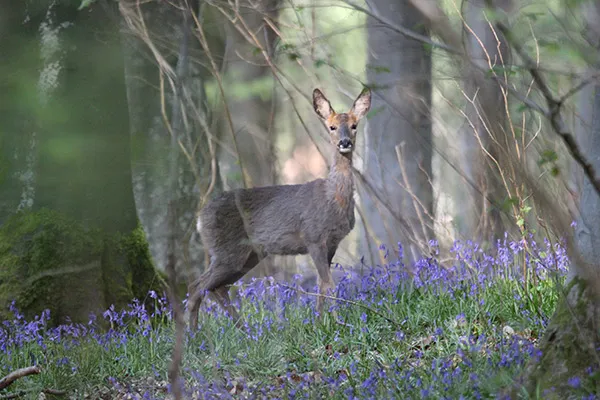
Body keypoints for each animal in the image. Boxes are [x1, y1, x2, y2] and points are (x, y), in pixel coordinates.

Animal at [188, 87, 370, 328]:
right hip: (226, 251)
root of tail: (200, 218)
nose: (344, 142)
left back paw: (245, 329)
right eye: (331, 127)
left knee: (217, 287)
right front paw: (337, 322)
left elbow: (322, 284)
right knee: (197, 287)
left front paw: (320, 322)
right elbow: (328, 283)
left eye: (354, 125)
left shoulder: (331, 243)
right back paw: (194, 334)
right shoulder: (313, 237)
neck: (333, 198)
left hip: (249, 255)